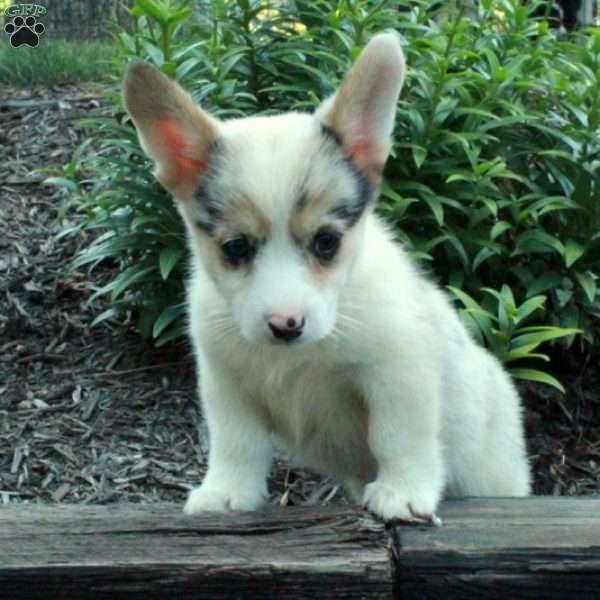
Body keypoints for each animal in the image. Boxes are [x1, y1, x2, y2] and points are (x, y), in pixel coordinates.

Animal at [122, 31, 528, 520]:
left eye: (327, 242)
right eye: (235, 248)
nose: (286, 325)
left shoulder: (398, 373)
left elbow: (397, 438)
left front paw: (402, 493)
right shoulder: (226, 383)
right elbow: (237, 444)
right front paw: (225, 493)